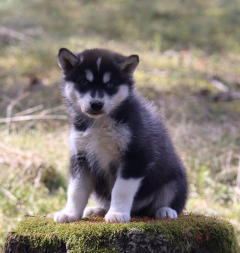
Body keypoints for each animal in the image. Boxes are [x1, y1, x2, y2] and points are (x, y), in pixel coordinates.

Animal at [54, 48, 188, 222]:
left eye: (110, 84)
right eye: (83, 82)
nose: (96, 104)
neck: (100, 123)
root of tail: (138, 210)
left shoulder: (136, 156)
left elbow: (121, 189)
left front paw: (117, 214)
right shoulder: (81, 157)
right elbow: (76, 190)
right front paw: (70, 213)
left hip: (174, 180)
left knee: (168, 202)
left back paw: (166, 211)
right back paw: (98, 209)